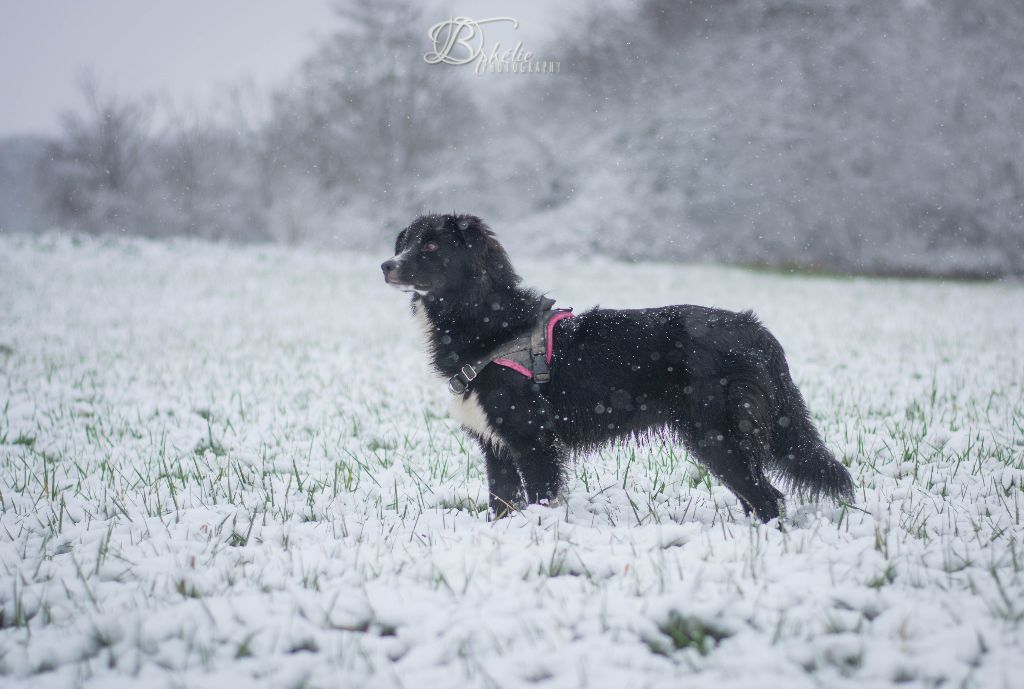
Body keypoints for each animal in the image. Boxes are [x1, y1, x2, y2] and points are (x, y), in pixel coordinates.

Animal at [380, 211, 851, 518]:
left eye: (431, 246)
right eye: (404, 244)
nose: (386, 265)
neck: (488, 323)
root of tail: (754, 329)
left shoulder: (533, 440)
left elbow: (539, 499)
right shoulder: (495, 445)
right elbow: (502, 502)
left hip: (718, 433)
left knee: (767, 497)